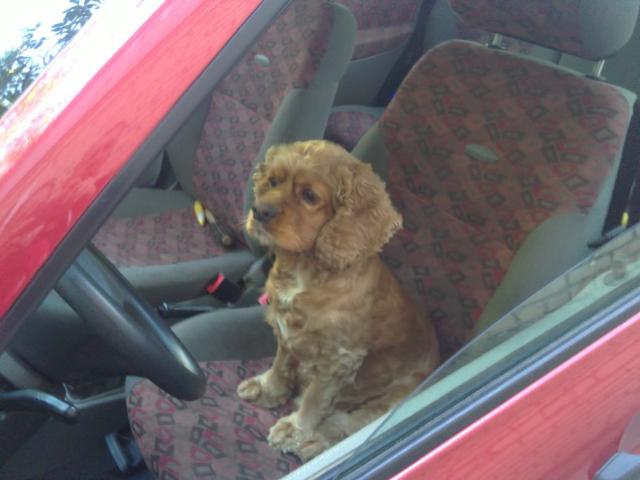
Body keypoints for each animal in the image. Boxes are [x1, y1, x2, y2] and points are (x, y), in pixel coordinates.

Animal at [238, 140, 439, 460]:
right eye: (273, 181)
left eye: (309, 195)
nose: (258, 210)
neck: (304, 272)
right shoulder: (286, 332)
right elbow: (281, 365)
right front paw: (267, 389)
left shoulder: (339, 359)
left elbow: (316, 399)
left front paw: (295, 429)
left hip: (390, 399)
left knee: (350, 424)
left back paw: (314, 442)